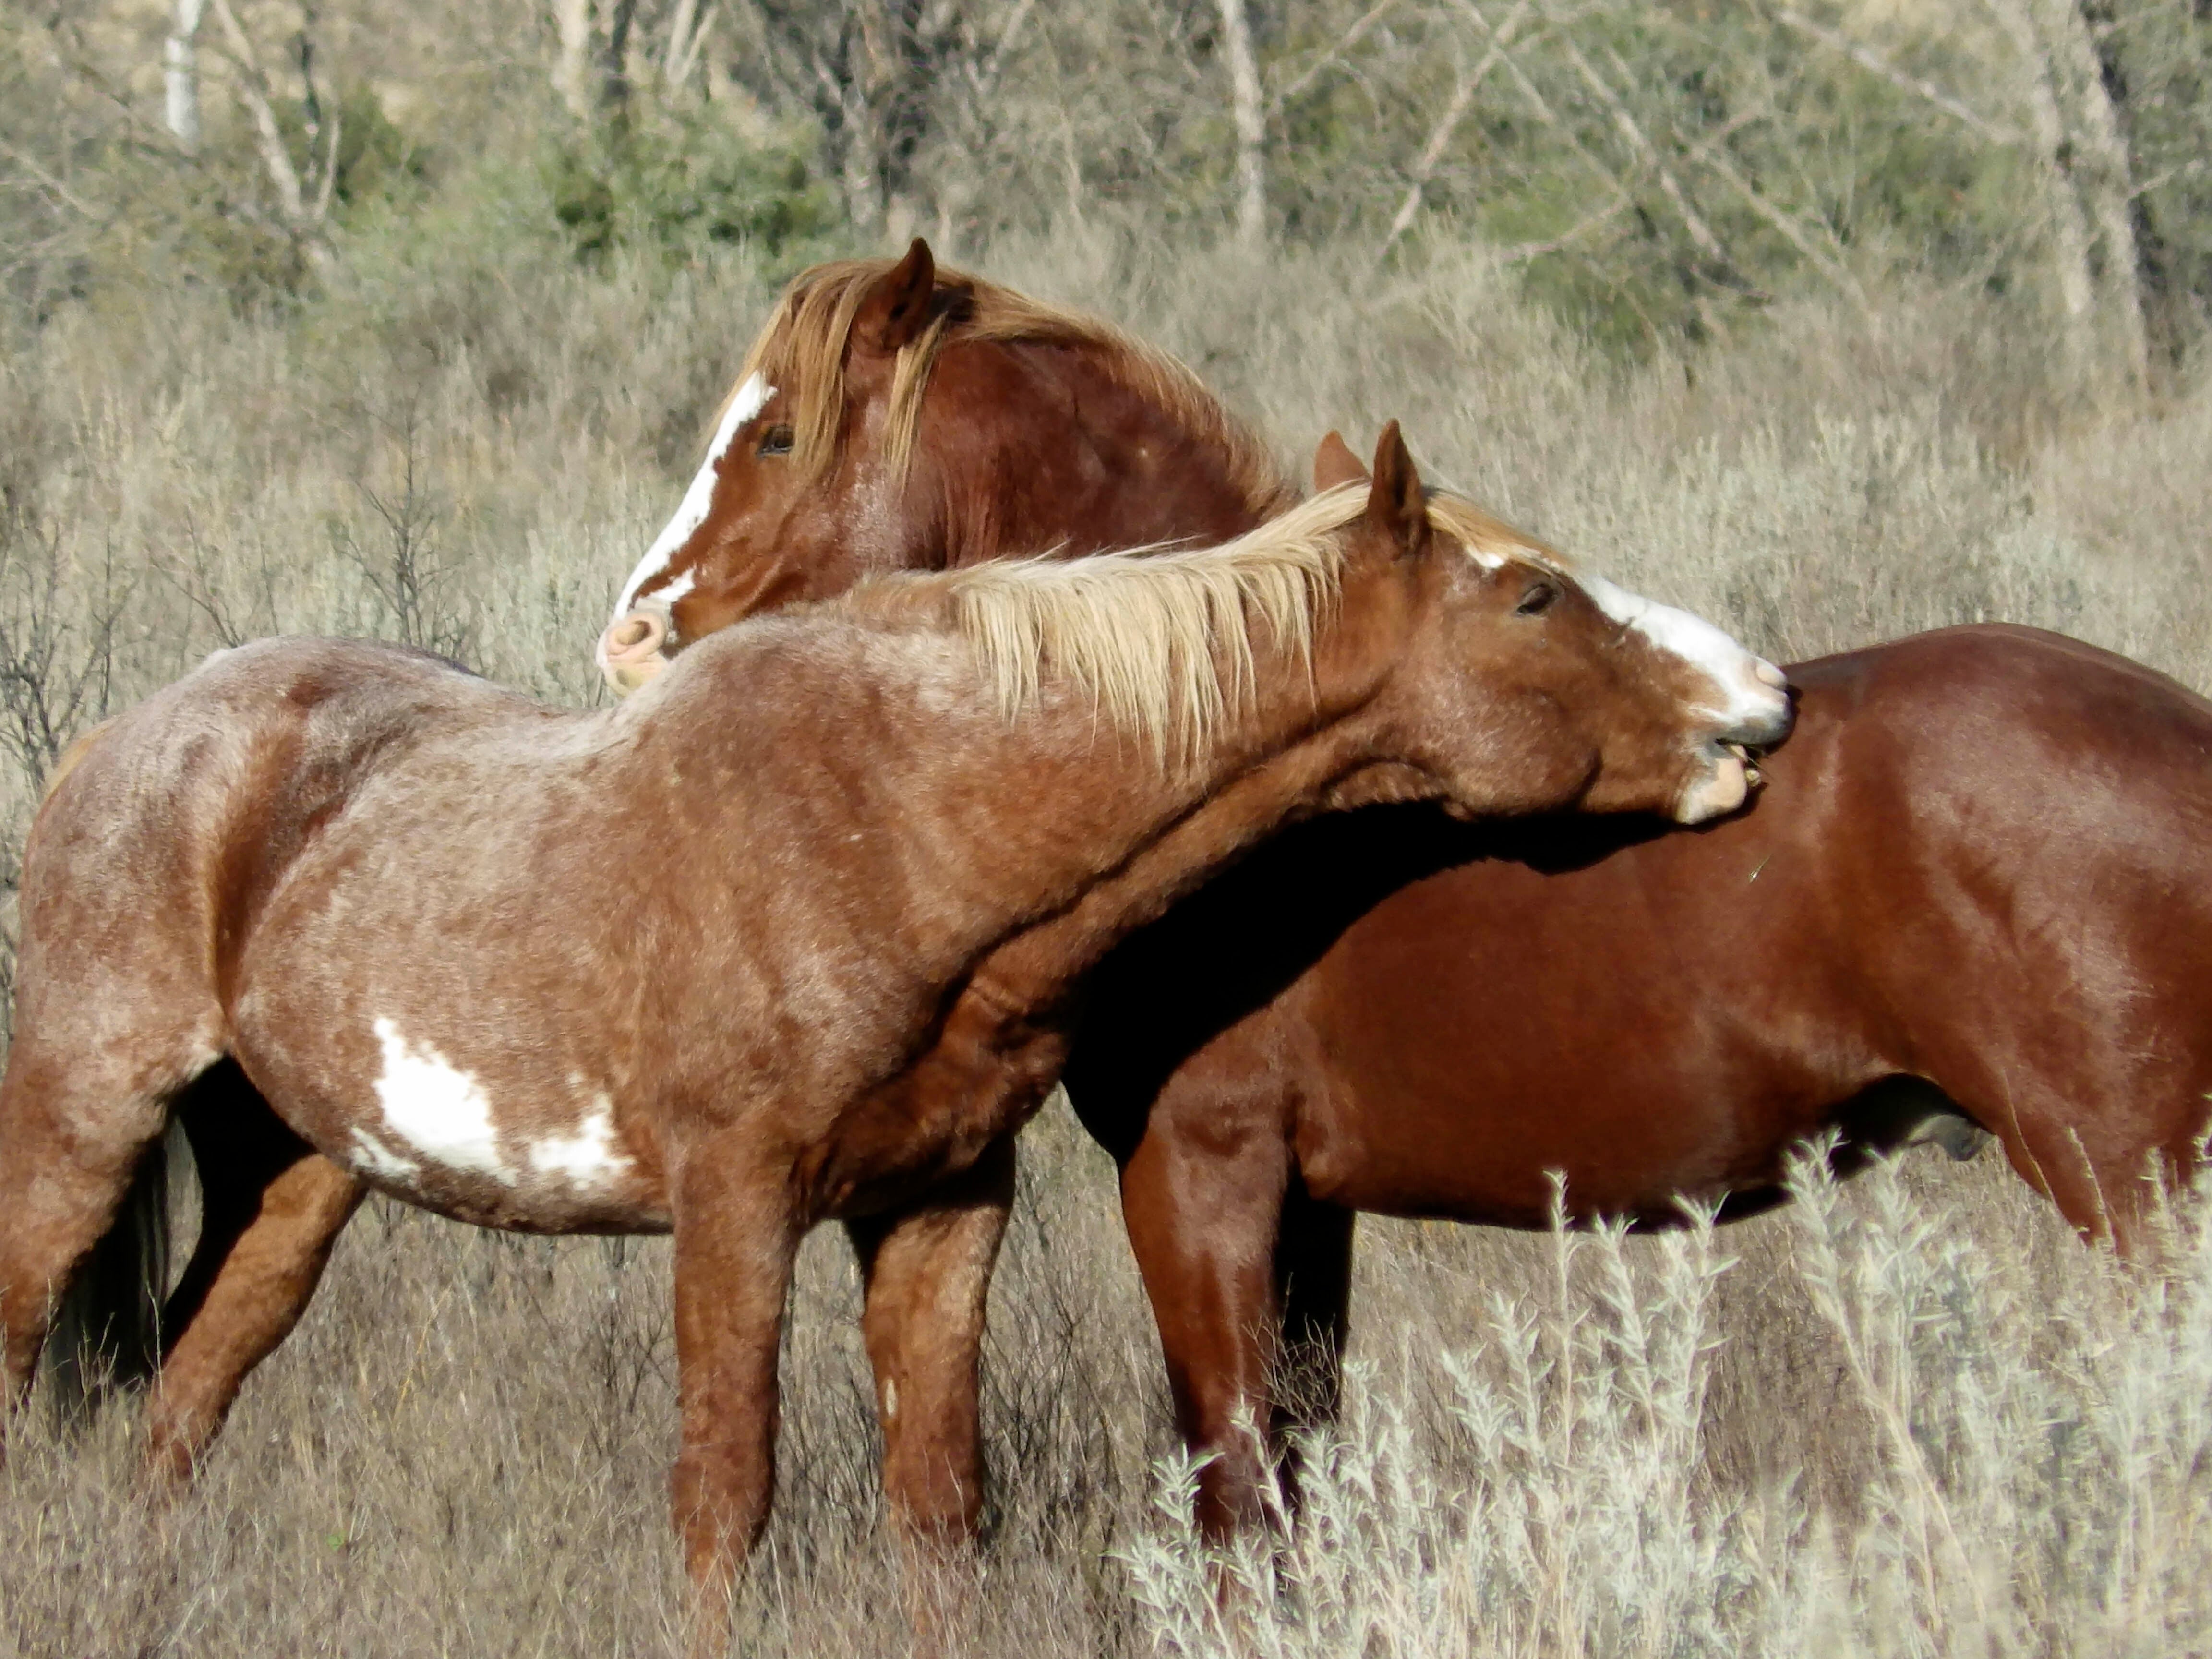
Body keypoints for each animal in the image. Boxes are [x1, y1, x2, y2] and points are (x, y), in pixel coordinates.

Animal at [0, 428, 1792, 1612]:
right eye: (1534, 599)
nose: (1763, 703)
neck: (899, 817)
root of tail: (120, 739)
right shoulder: (735, 1206)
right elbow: (727, 1494)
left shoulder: (938, 1204)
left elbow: (937, 1503)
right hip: (81, 1133)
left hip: (298, 1176)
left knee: (185, 1393)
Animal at [592, 238, 2212, 1542]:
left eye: (777, 434)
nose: (631, 640)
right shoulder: (1313, 1211)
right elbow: (1300, 1463)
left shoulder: (1199, 1179)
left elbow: (1238, 1494)